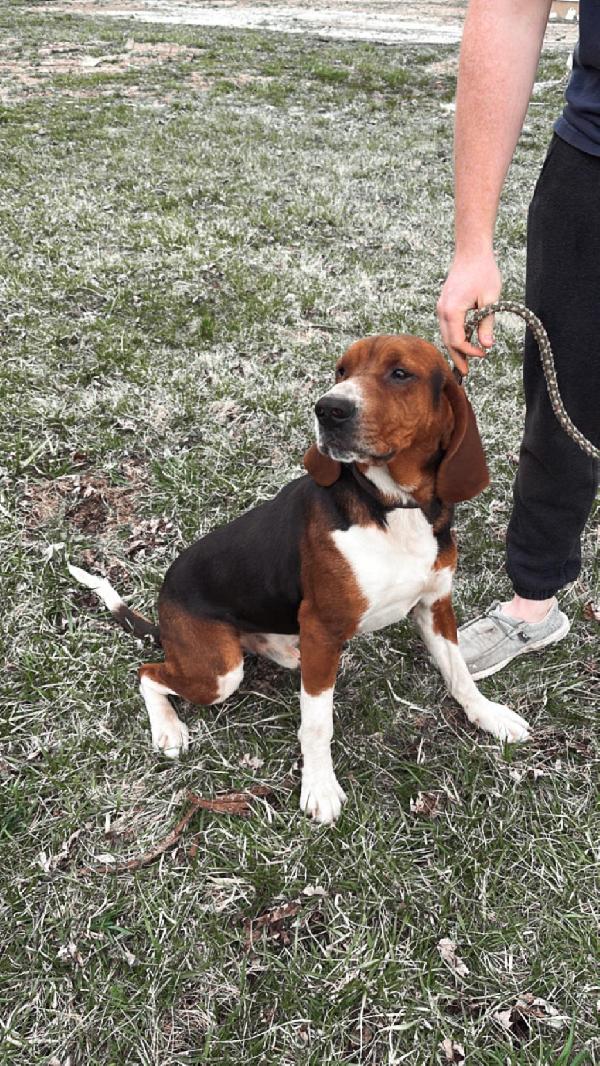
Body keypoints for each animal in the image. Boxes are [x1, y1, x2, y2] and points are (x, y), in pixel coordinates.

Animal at [69, 334, 530, 823]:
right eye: (341, 371)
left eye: (400, 373)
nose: (328, 409)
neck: (391, 507)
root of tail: (162, 613)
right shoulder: (323, 627)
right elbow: (316, 725)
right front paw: (320, 787)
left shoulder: (434, 604)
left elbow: (460, 675)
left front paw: (489, 716)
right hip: (219, 673)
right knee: (149, 672)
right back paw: (169, 727)